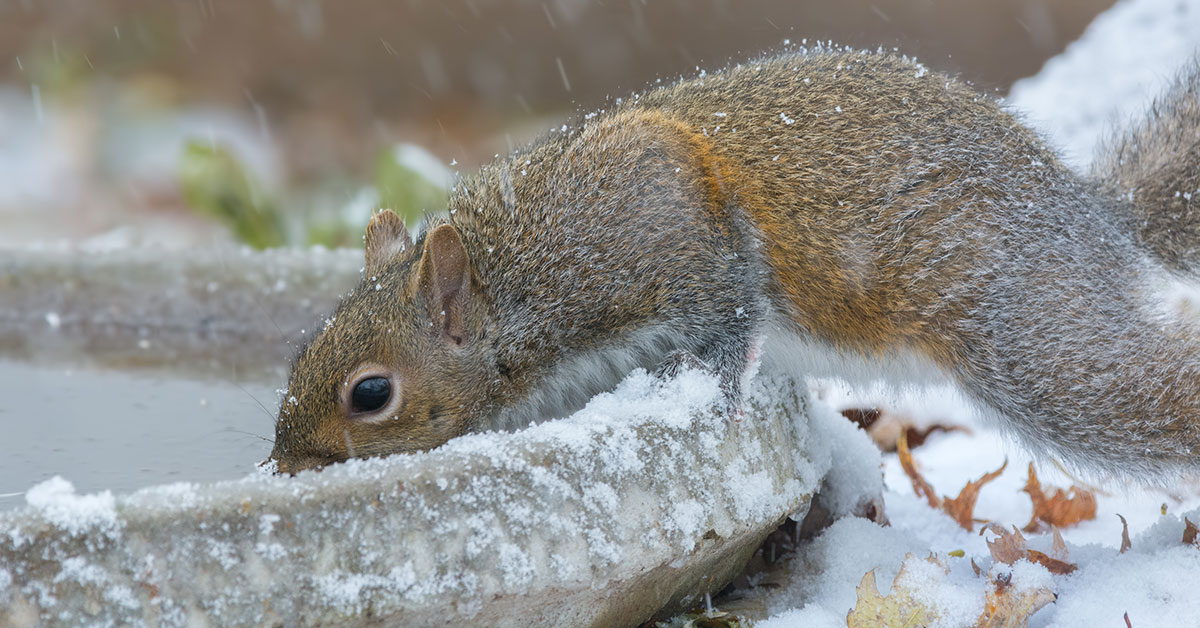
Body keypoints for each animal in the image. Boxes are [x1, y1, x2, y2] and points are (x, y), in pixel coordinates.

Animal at [267, 49, 1200, 480]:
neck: (515, 281)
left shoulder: (648, 221)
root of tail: (1092, 210)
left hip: (1022, 324)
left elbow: (729, 309)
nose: (283, 466)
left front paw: (709, 386)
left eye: (371, 394)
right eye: (299, 354)